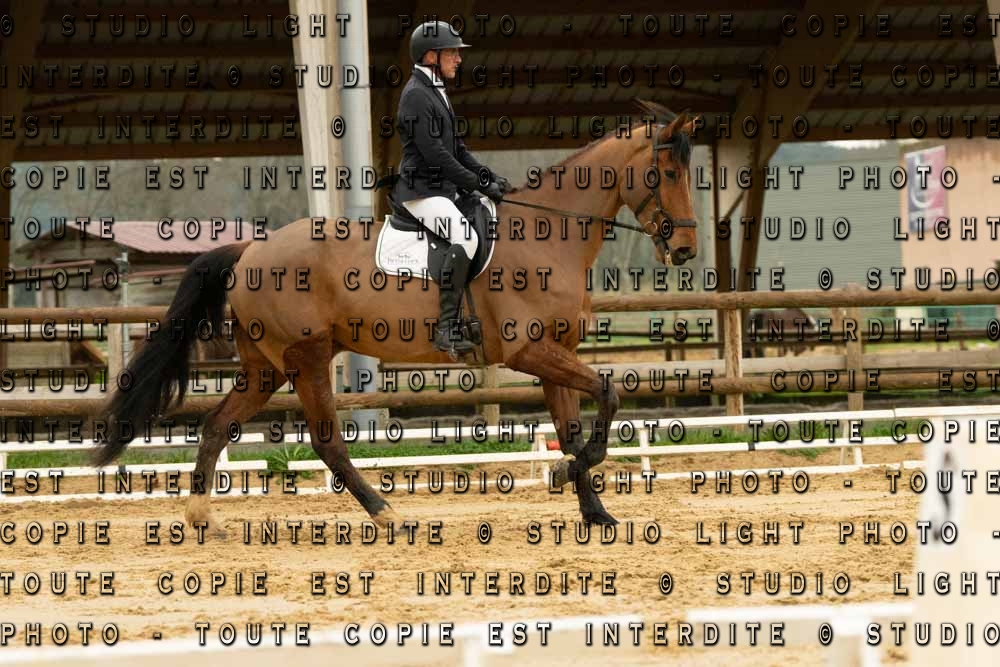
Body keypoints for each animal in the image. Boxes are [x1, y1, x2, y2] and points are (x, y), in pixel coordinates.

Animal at [90, 99, 702, 533]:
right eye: (667, 173)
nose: (687, 251)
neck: (548, 235)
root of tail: (249, 252)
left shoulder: (557, 354)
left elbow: (574, 430)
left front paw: (593, 509)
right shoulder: (529, 351)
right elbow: (608, 396)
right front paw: (566, 474)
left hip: (266, 367)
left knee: (218, 425)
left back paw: (200, 517)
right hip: (307, 357)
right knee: (327, 441)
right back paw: (385, 512)